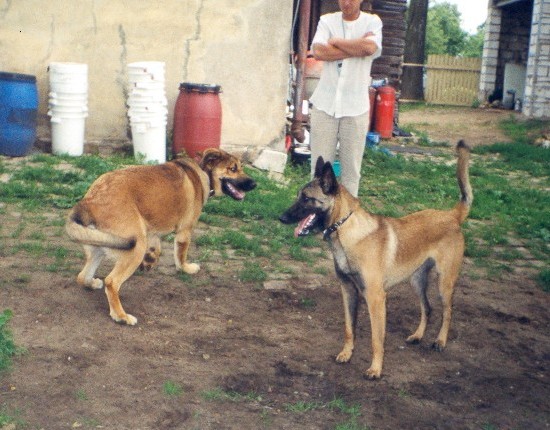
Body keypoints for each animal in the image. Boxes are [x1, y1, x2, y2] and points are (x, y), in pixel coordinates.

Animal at [66, 149, 256, 324]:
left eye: (241, 167)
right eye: (232, 169)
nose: (254, 184)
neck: (202, 170)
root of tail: (90, 201)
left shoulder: (150, 230)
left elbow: (156, 249)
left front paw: (150, 261)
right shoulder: (184, 232)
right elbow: (181, 256)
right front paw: (186, 269)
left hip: (99, 246)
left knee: (82, 276)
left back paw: (93, 283)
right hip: (135, 247)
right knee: (111, 282)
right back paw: (121, 316)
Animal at [280, 142, 474, 380]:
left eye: (307, 198)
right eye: (299, 195)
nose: (281, 217)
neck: (347, 231)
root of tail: (452, 216)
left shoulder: (376, 298)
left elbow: (376, 339)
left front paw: (375, 369)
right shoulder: (348, 291)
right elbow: (349, 328)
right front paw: (347, 354)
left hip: (444, 283)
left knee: (447, 311)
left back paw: (440, 341)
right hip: (417, 280)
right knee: (427, 308)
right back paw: (418, 336)